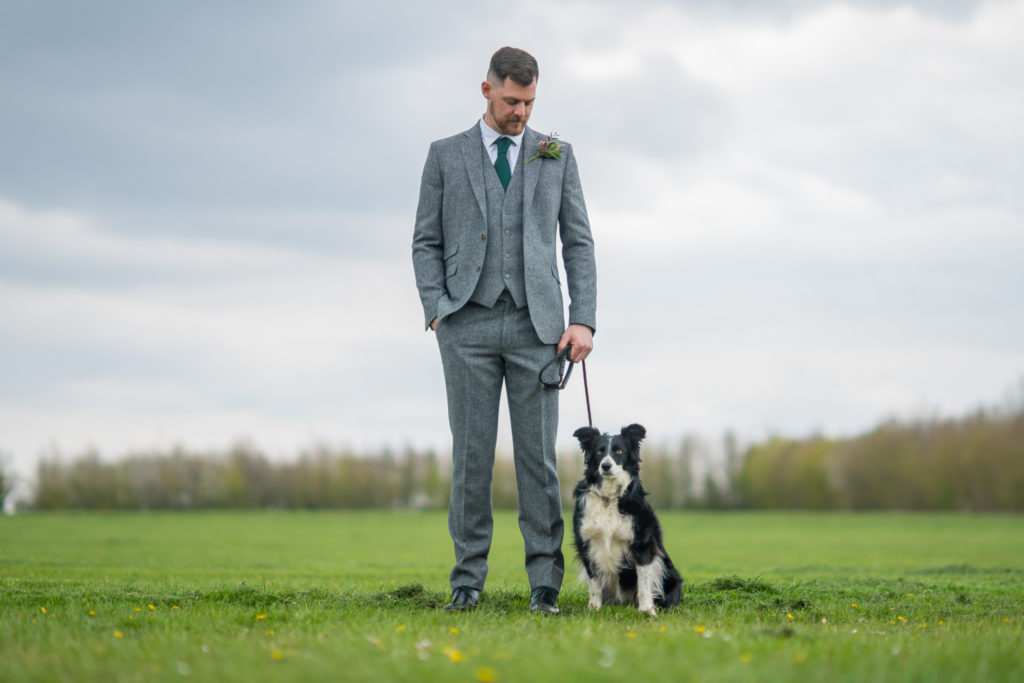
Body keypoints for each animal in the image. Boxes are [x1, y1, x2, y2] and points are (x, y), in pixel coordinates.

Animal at [573, 423, 684, 618]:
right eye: (599, 452)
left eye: (618, 451)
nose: (606, 466)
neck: (609, 497)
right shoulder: (586, 543)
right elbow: (594, 582)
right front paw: (594, 608)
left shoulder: (642, 545)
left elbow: (644, 583)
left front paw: (647, 610)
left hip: (671, 576)